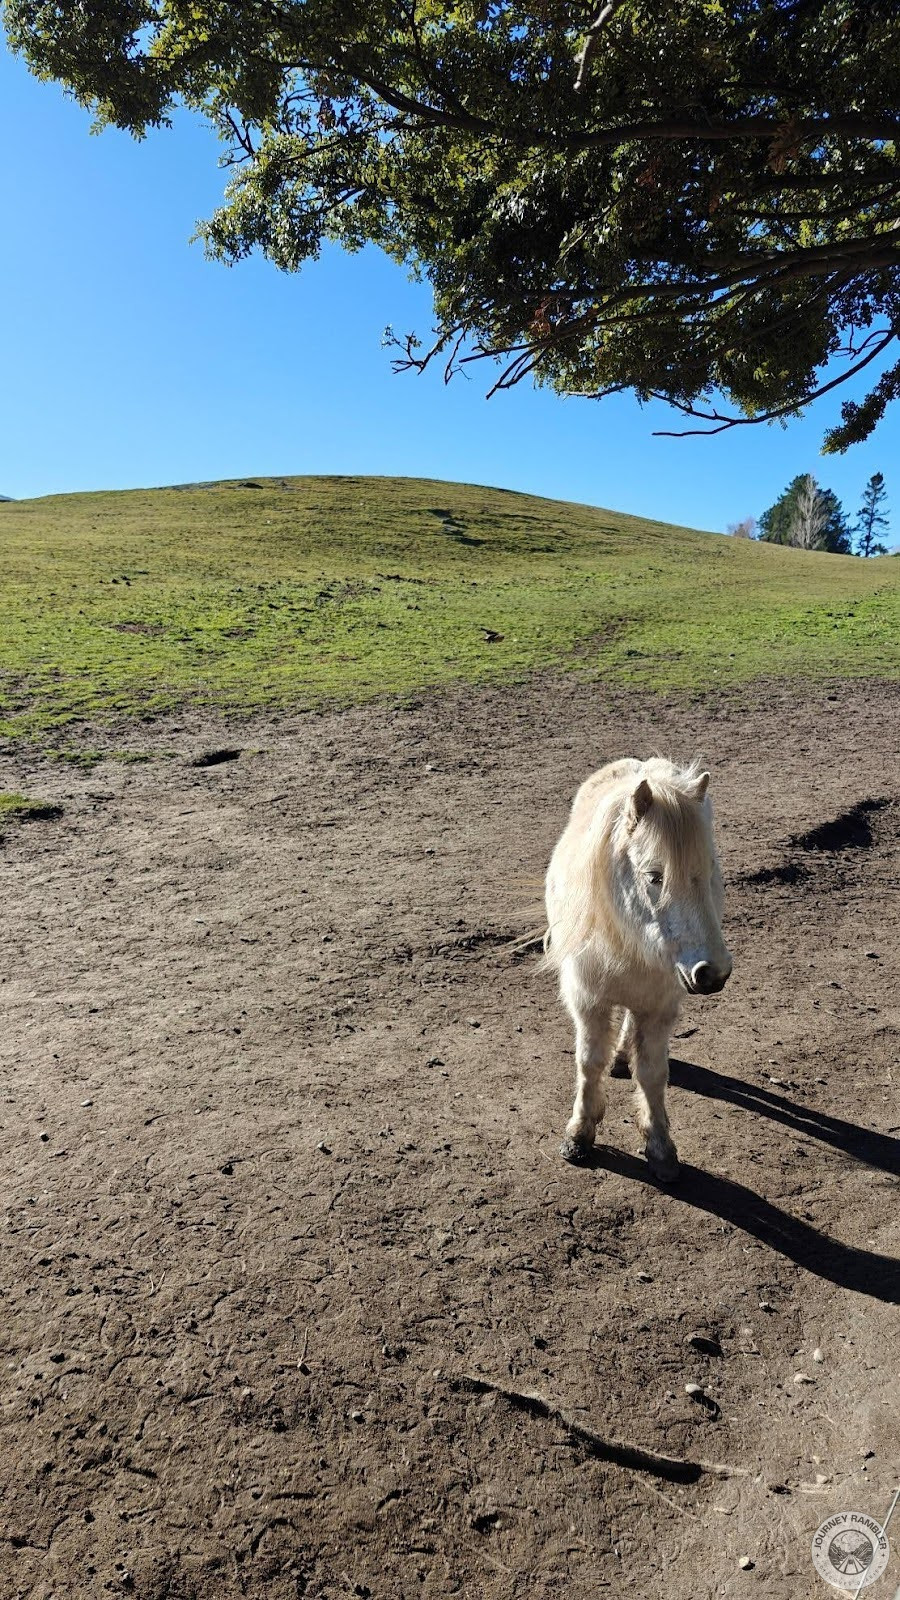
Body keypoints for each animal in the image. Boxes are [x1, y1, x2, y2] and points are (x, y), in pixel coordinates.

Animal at [544, 757, 732, 1181]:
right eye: (654, 876)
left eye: (710, 869)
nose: (712, 974)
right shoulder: (588, 1000)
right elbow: (588, 1062)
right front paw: (579, 1135)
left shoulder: (660, 1005)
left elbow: (651, 1073)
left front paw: (660, 1147)